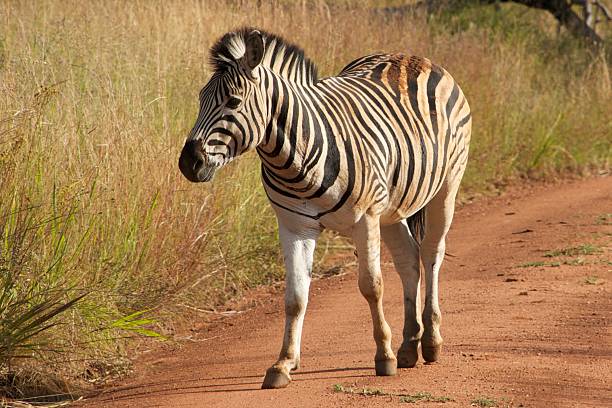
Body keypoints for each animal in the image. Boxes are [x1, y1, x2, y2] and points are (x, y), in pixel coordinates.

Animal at [179, 26, 470, 388]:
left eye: (233, 102)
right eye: (199, 100)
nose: (188, 163)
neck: (294, 157)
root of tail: (411, 56)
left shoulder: (366, 218)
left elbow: (371, 286)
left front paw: (383, 356)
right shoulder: (294, 225)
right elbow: (295, 297)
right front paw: (283, 364)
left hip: (446, 186)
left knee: (431, 254)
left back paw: (430, 341)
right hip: (392, 208)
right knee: (408, 261)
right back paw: (408, 345)